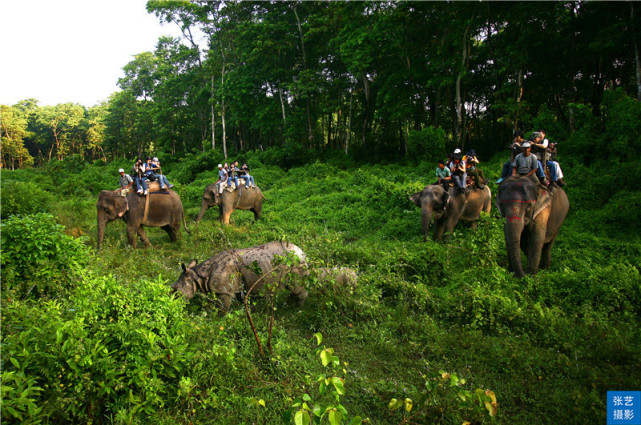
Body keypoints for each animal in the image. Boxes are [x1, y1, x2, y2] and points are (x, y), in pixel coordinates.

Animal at [171, 242, 308, 312]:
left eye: (176, 291)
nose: (173, 302)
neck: (197, 276)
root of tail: (302, 251)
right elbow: (243, 302)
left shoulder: (223, 291)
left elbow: (223, 307)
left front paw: (219, 320)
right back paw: (289, 305)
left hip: (296, 261)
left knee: (296, 287)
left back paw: (297, 309)